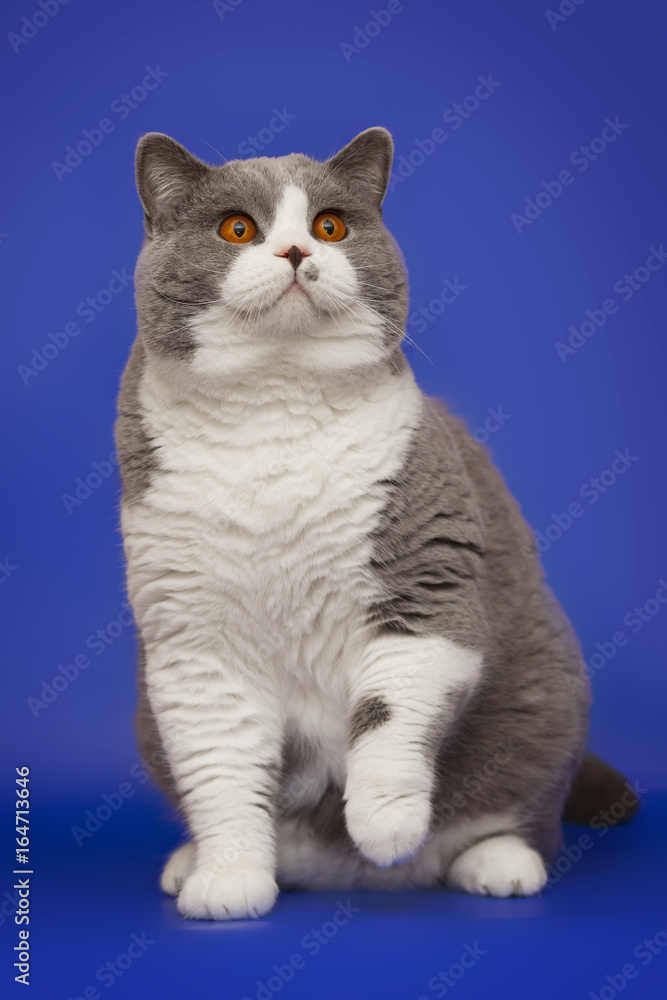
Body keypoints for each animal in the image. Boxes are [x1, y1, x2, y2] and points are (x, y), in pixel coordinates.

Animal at [116, 127, 640, 920]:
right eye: (237, 229)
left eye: (331, 226)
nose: (294, 251)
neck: (273, 407)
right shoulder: (193, 638)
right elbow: (221, 765)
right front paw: (229, 879)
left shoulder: (426, 579)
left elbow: (390, 712)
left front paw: (384, 822)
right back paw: (196, 862)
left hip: (546, 701)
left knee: (525, 814)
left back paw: (492, 863)